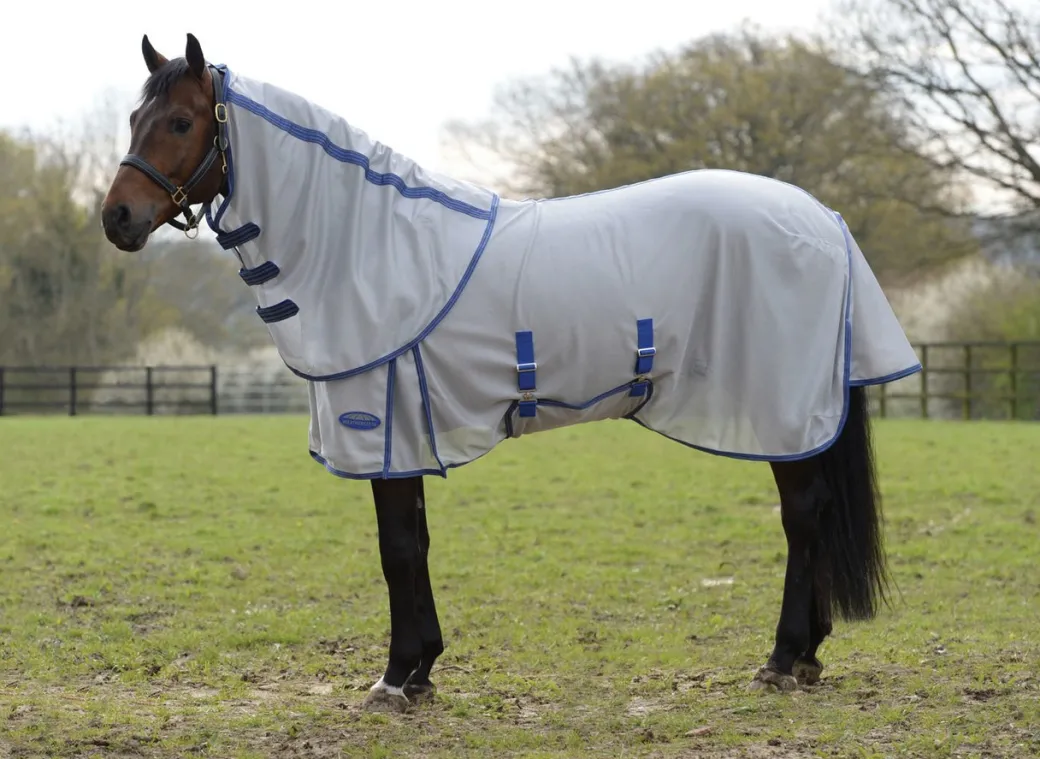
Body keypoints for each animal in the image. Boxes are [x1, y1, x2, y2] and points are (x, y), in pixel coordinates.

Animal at [101, 33, 923, 712]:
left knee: (803, 517)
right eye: (135, 118)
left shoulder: (382, 426)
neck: (370, 245)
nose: (117, 219)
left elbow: (395, 550)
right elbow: (416, 544)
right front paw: (423, 670)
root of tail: (824, 221)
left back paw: (783, 659)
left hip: (782, 407)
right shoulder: (408, 430)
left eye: (181, 123)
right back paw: (807, 656)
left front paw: (394, 678)